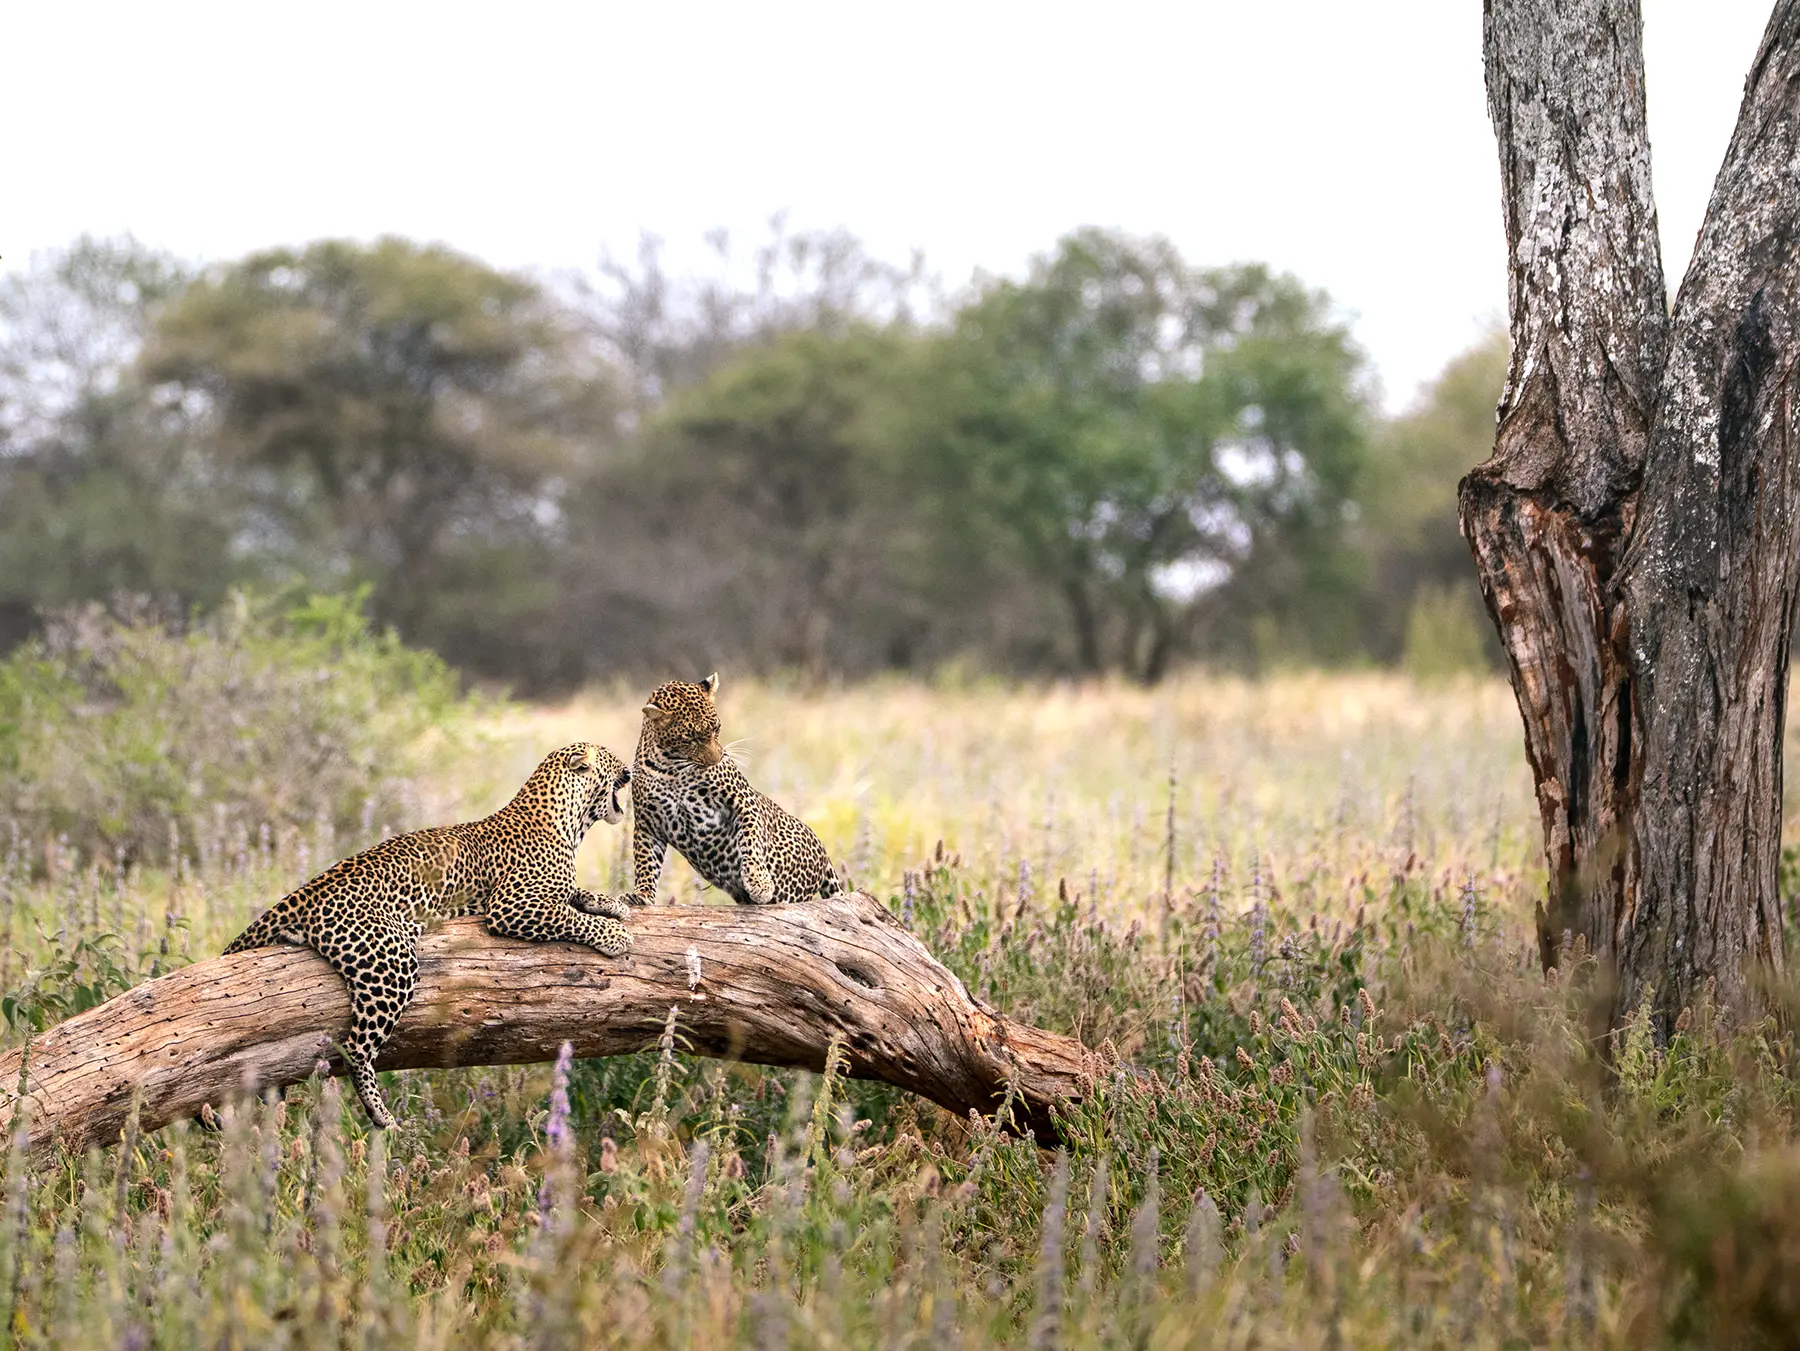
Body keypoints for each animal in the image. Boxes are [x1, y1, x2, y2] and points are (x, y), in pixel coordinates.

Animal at [223, 742, 639, 1128]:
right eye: (611, 758)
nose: (631, 771)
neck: (568, 820)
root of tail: (305, 891)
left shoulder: (548, 892)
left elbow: (575, 894)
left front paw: (613, 905)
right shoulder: (511, 906)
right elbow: (568, 915)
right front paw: (614, 935)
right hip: (391, 965)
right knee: (354, 1049)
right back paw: (382, 1116)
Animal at [631, 673, 841, 906]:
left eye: (716, 728)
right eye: (689, 739)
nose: (716, 760)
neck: (672, 768)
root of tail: (823, 851)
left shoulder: (743, 800)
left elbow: (750, 840)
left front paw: (759, 882)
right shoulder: (648, 823)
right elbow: (645, 862)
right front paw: (641, 895)